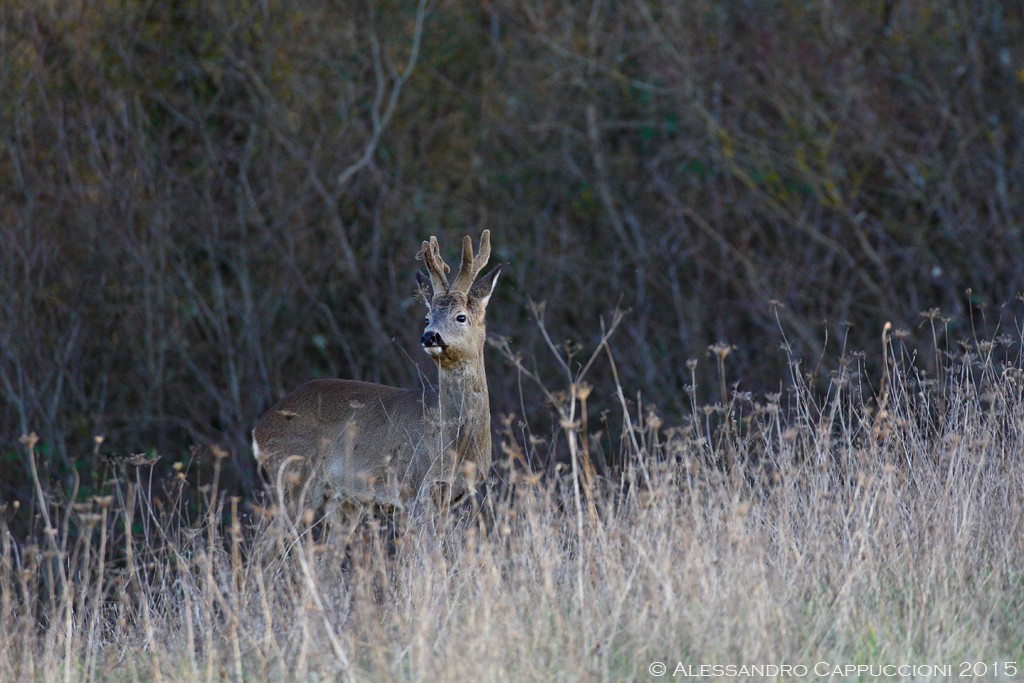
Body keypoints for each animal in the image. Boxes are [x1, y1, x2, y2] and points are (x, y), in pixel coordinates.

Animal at [251, 232, 499, 516]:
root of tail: (258, 430)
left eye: (461, 317)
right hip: (293, 475)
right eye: (427, 318)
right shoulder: (412, 486)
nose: (429, 336)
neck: (456, 446)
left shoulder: (450, 496)